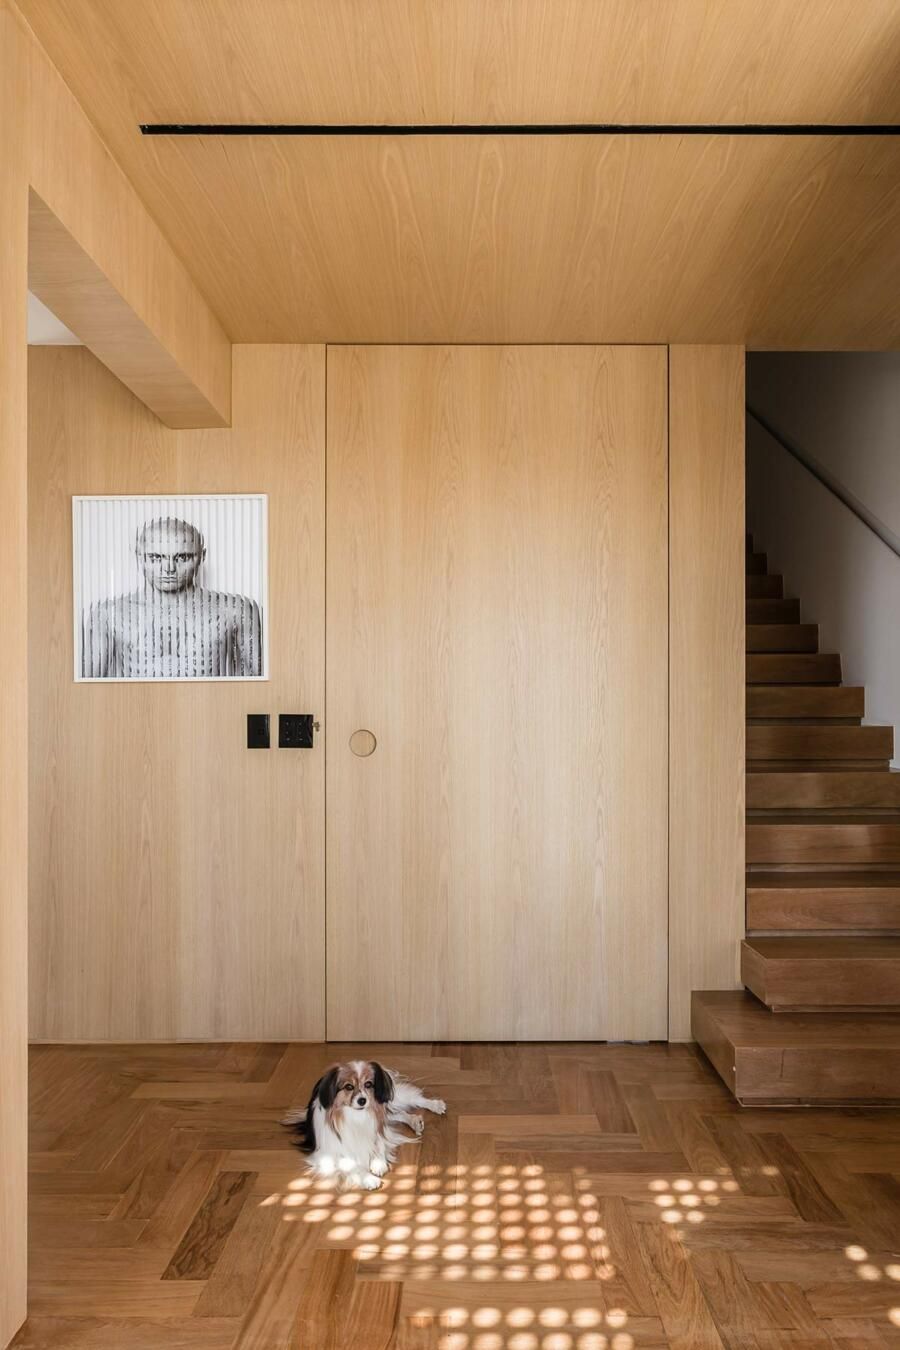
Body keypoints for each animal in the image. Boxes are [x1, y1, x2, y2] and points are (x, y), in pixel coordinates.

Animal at [281, 1060, 446, 1189]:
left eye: (368, 1084)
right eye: (348, 1087)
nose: (362, 1100)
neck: (356, 1116)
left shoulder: (378, 1126)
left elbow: (379, 1141)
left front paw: (378, 1163)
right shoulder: (328, 1154)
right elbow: (349, 1164)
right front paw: (369, 1179)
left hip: (392, 1100)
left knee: (410, 1100)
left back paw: (435, 1105)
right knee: (397, 1114)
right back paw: (415, 1121)